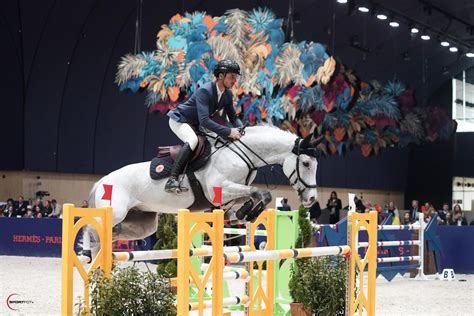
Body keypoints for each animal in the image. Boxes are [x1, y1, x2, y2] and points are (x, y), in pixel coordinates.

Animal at [81, 124, 320, 258]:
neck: (243, 155)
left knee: (110, 235)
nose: (311, 199)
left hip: (143, 223)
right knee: (91, 229)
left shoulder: (230, 194)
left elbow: (257, 195)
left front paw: (244, 213)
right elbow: (260, 193)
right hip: (114, 213)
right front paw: (246, 213)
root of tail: (101, 181)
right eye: (306, 163)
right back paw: (88, 256)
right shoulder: (220, 189)